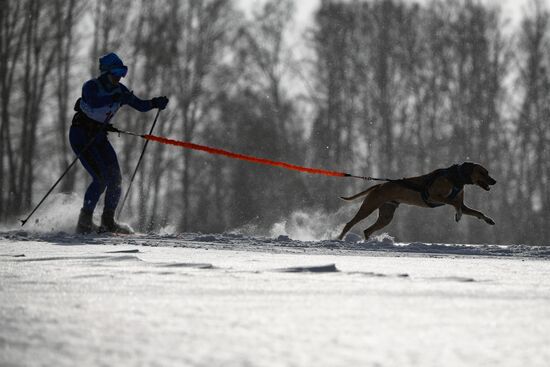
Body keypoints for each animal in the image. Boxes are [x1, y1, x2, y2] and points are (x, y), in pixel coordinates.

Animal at [338, 164, 498, 242]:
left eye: (487, 172)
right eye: (482, 172)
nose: (494, 181)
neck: (456, 178)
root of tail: (378, 185)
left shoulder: (463, 205)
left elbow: (476, 211)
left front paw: (488, 219)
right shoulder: (434, 196)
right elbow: (453, 203)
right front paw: (457, 215)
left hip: (386, 216)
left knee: (367, 230)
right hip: (369, 207)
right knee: (349, 224)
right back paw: (339, 239)